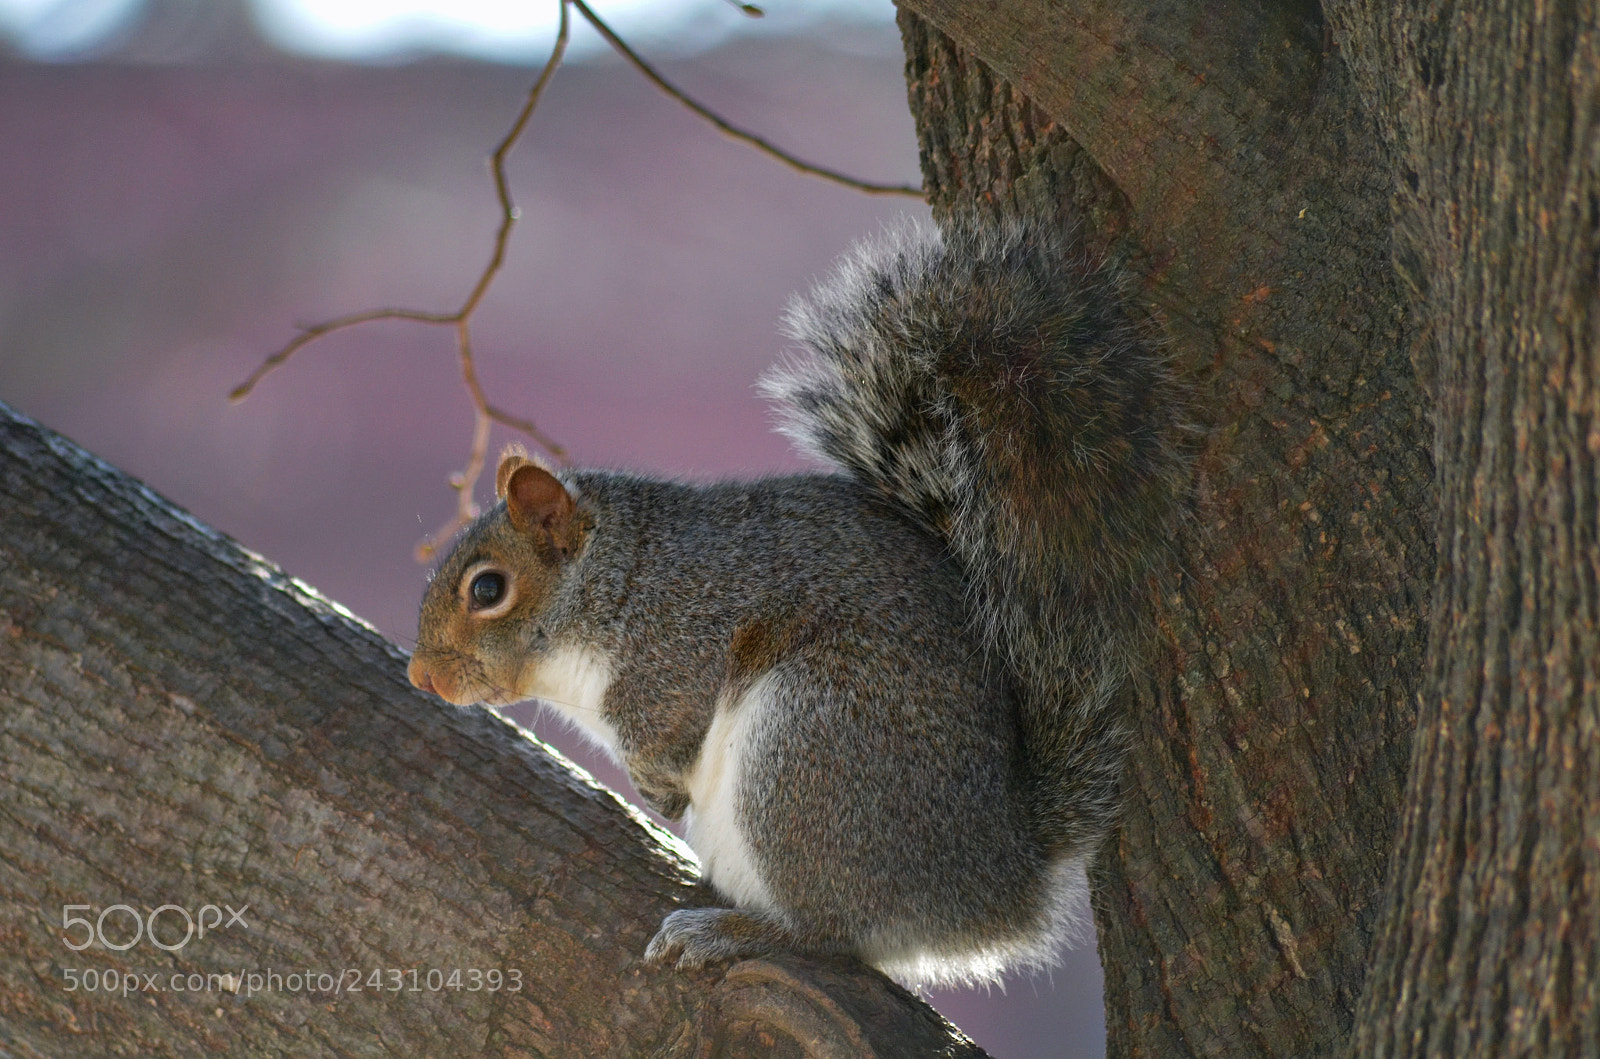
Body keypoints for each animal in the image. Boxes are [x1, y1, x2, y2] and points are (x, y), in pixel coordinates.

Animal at [407, 219, 1187, 986]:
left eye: (487, 589)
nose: (421, 676)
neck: (617, 580)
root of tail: (997, 883)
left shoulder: (679, 638)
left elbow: (669, 724)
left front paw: (659, 790)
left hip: (810, 749)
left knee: (833, 931)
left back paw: (735, 930)